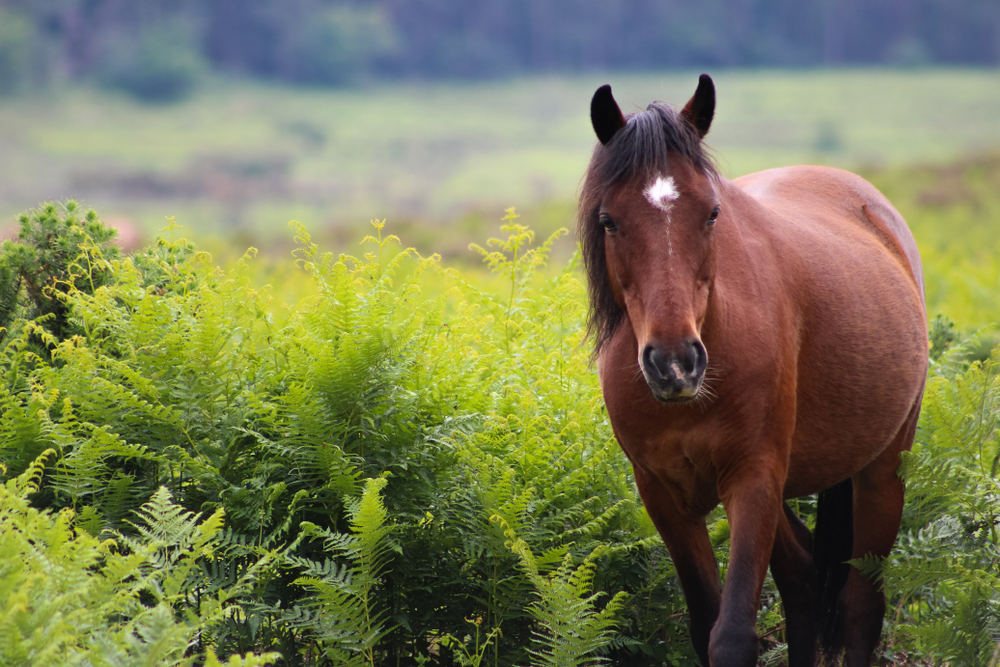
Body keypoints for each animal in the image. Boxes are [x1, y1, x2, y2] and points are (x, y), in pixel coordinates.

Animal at [584, 74, 924, 667]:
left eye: (712, 213)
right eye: (609, 221)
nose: (675, 364)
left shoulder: (753, 478)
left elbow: (733, 634)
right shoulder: (663, 494)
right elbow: (705, 623)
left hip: (882, 471)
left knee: (861, 605)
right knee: (804, 577)